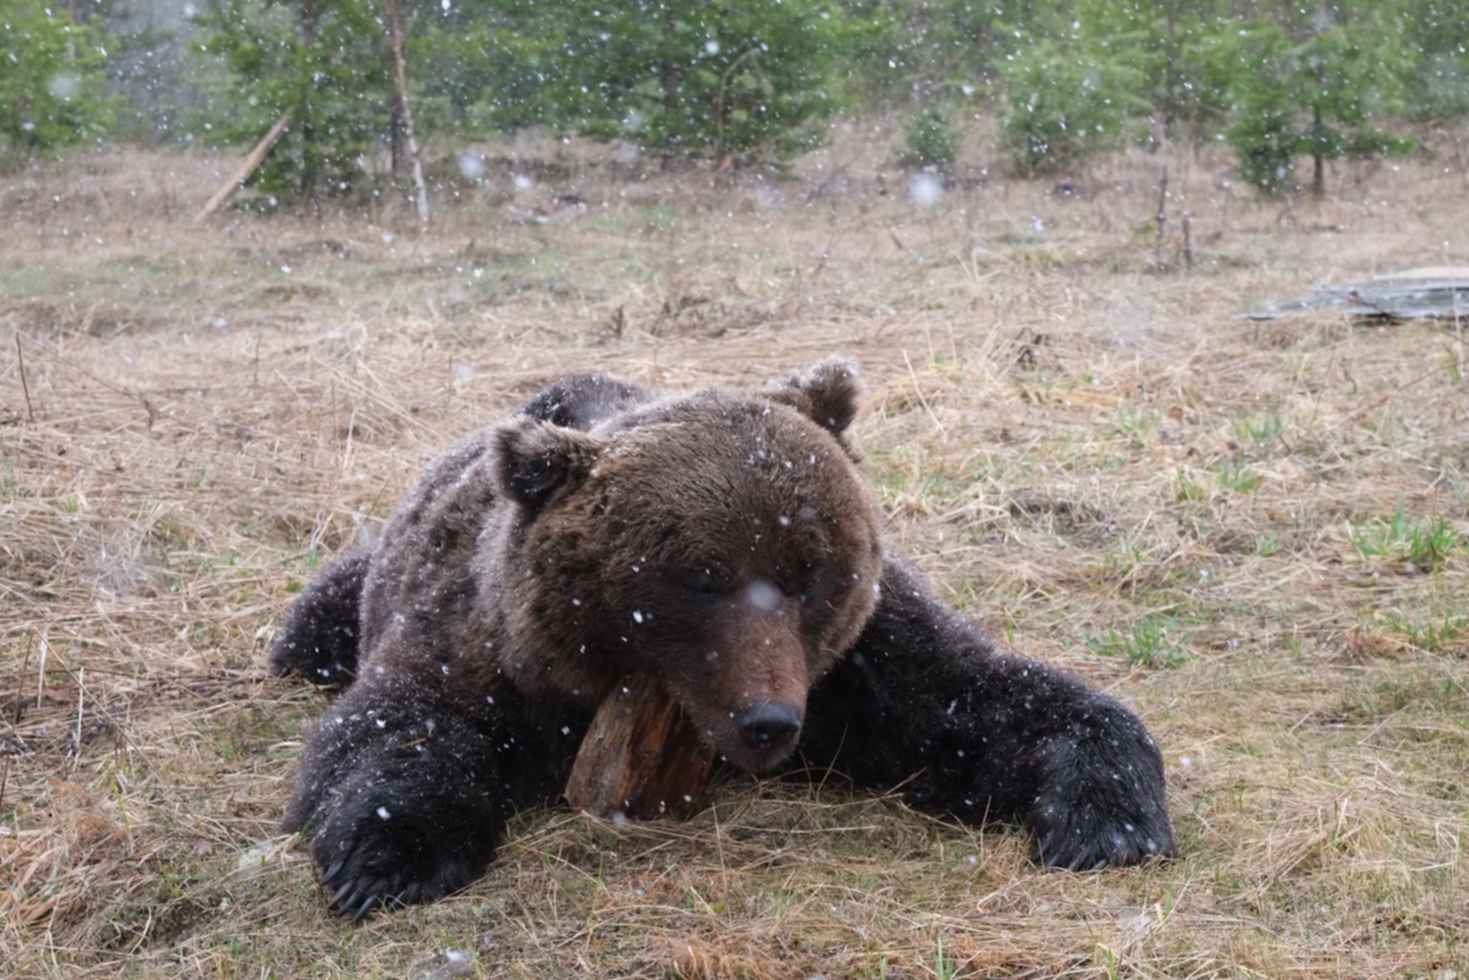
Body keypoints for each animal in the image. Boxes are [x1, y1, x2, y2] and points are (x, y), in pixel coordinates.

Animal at [273, 358, 1169, 922]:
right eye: (698, 577)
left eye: (809, 572)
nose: (768, 722)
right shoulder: (473, 647)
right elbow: (397, 728)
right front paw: (387, 856)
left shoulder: (860, 664)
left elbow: (975, 700)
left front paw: (1104, 821)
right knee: (310, 623)